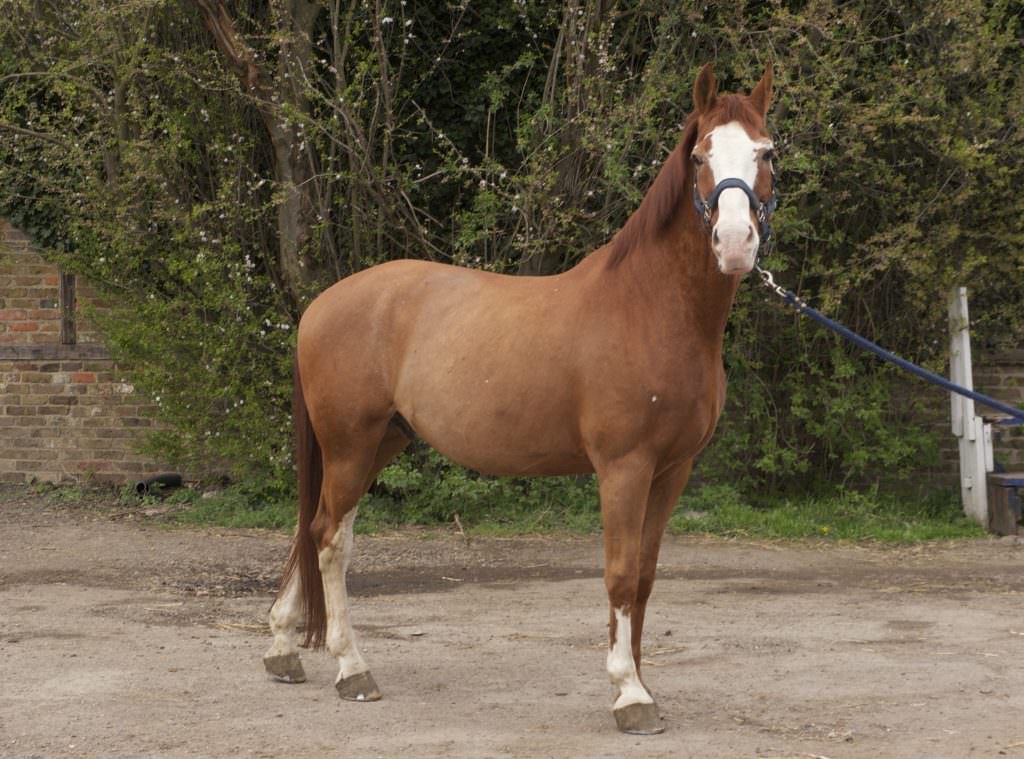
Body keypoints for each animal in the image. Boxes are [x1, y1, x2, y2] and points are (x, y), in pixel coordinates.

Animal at [261, 62, 777, 735]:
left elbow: (643, 577)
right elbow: (618, 575)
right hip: (351, 445)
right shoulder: (624, 469)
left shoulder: (673, 471)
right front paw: (628, 695)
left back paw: (282, 650)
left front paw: (643, 683)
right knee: (327, 538)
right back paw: (353, 669)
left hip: (380, 444)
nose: (736, 242)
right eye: (699, 156)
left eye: (767, 153)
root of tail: (319, 306)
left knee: (316, 529)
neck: (652, 307)